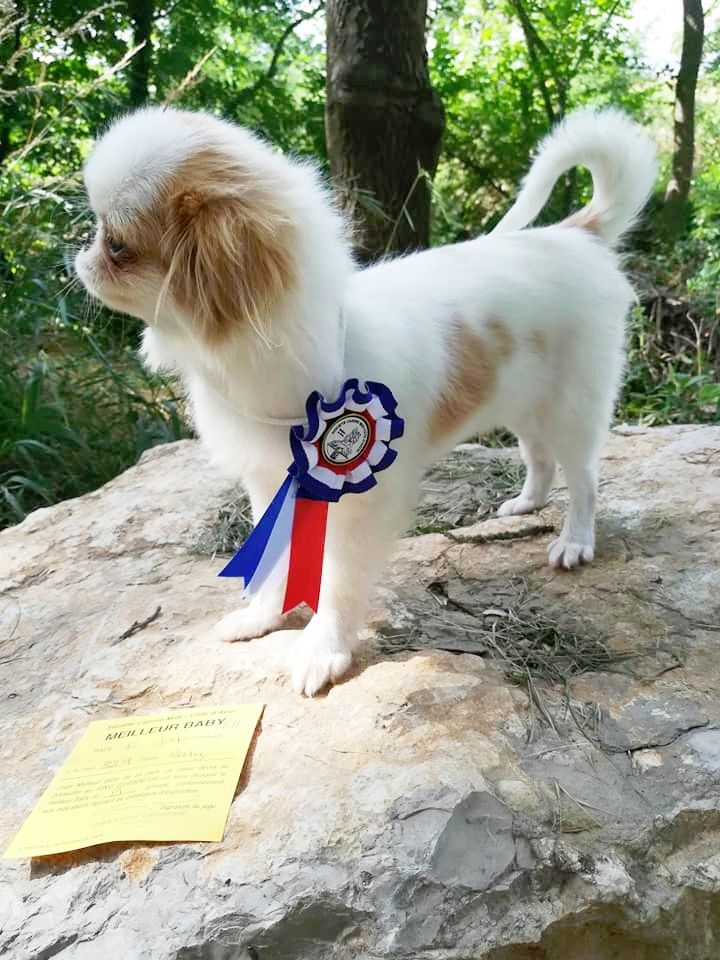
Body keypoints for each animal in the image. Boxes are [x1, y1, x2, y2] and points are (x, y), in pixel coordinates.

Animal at [76, 105, 656, 692]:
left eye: (117, 244)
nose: (80, 251)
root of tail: (574, 234)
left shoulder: (359, 503)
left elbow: (338, 581)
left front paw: (322, 650)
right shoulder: (270, 481)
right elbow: (274, 562)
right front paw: (262, 618)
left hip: (573, 404)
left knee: (583, 477)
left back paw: (575, 540)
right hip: (521, 397)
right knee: (539, 456)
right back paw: (527, 503)